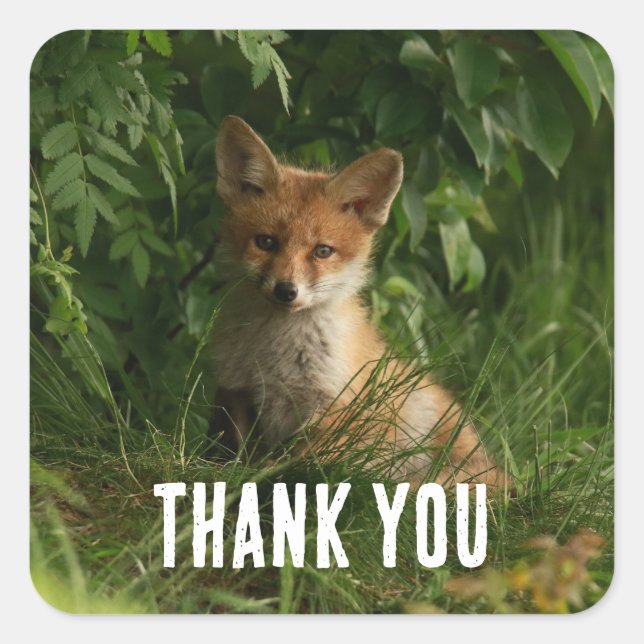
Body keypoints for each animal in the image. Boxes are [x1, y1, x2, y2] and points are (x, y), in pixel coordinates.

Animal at [210, 115, 504, 489]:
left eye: (323, 251)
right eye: (265, 242)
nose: (286, 291)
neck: (274, 355)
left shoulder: (334, 406)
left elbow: (300, 463)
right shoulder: (236, 391)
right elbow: (236, 453)